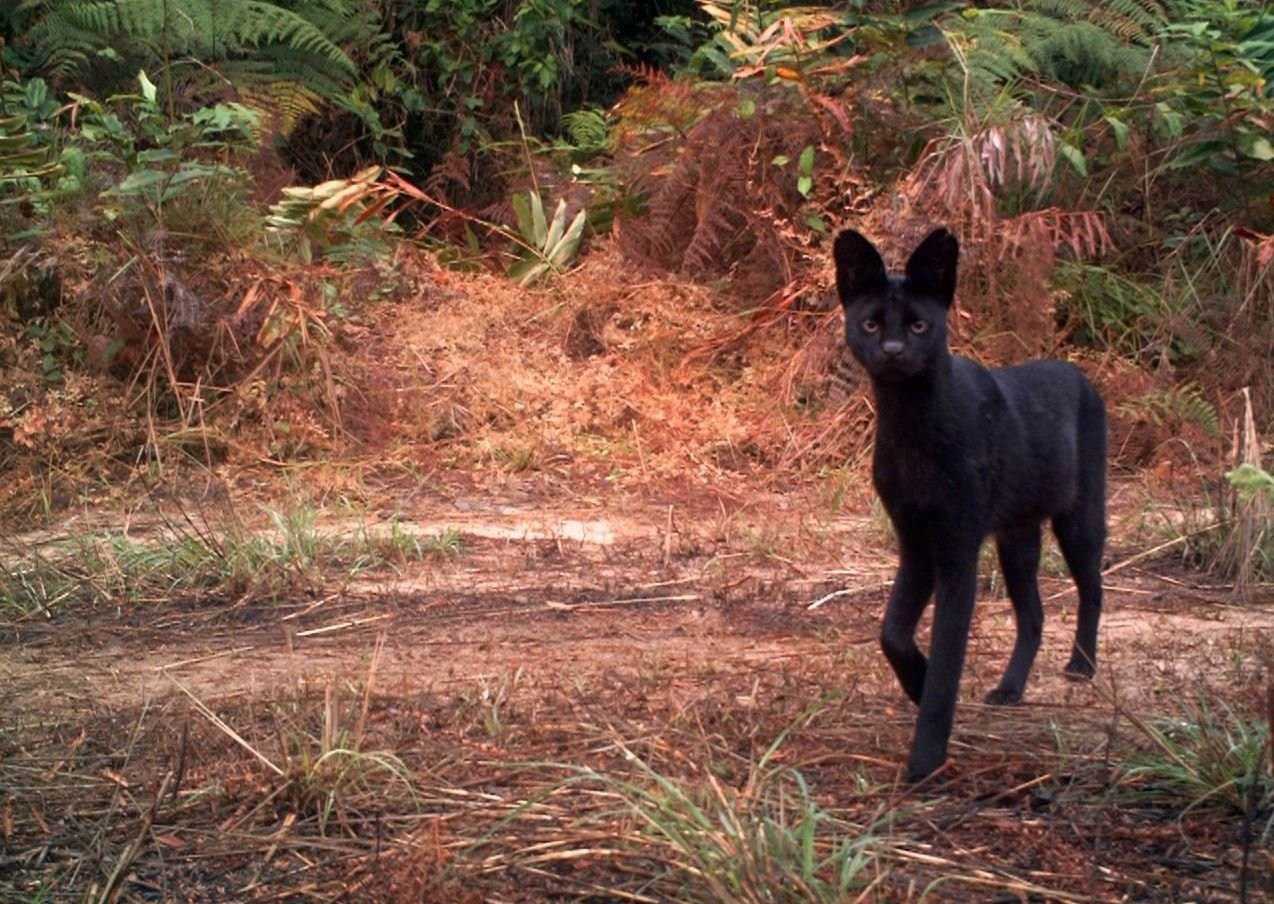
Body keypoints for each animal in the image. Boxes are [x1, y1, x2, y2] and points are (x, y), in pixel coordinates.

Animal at [835, 227, 1105, 784]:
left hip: (1079, 519)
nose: (893, 350)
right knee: (1034, 615)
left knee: (1093, 589)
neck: (913, 426)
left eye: (919, 324)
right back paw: (1010, 688)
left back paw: (1082, 665)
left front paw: (925, 759)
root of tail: (1078, 374)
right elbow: (892, 633)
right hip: (1016, 538)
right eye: (871, 323)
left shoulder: (957, 548)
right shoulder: (916, 541)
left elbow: (948, 657)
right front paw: (915, 682)